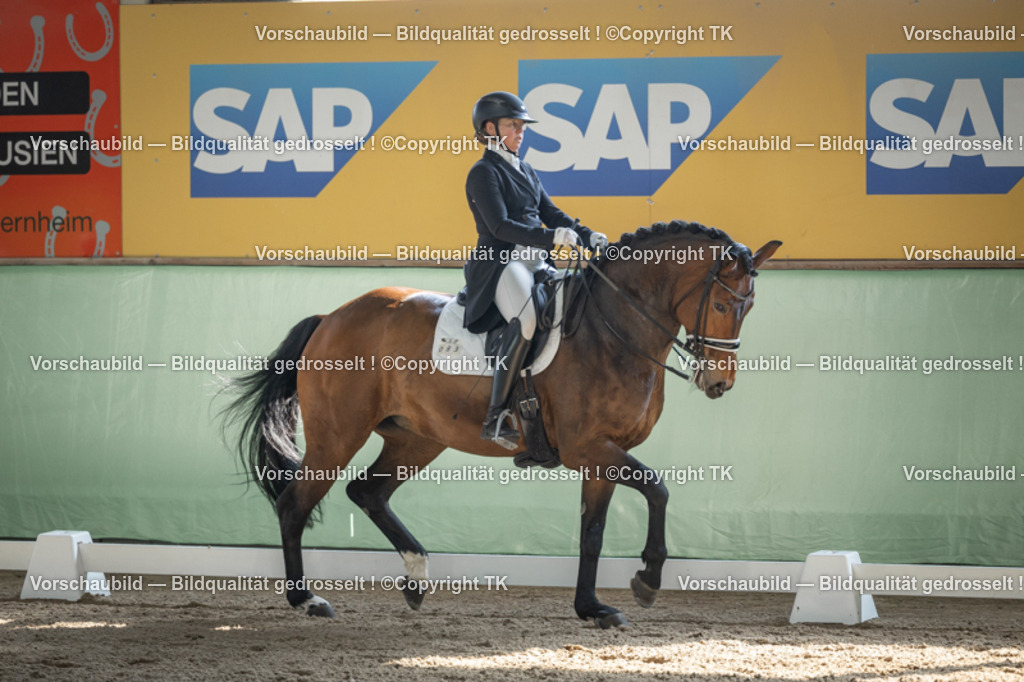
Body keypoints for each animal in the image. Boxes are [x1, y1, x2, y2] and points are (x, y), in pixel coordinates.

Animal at [224, 220, 781, 628]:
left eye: (751, 306)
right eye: (723, 303)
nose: (719, 382)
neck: (614, 332)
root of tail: (332, 317)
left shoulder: (601, 456)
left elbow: (593, 531)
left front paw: (592, 608)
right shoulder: (588, 448)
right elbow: (659, 488)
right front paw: (647, 580)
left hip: (416, 438)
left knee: (368, 492)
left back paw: (417, 577)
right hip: (338, 436)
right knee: (296, 504)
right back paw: (307, 600)